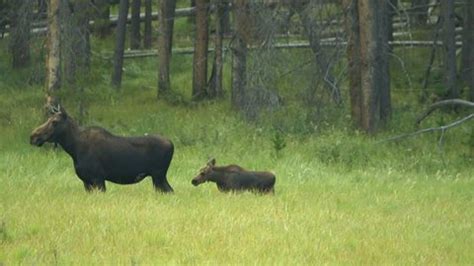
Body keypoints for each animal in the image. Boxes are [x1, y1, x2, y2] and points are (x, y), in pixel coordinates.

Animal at [30, 106, 174, 193]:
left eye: (54, 121)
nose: (33, 136)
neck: (74, 149)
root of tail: (172, 145)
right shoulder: (86, 181)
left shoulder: (98, 178)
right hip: (158, 176)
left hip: (158, 175)